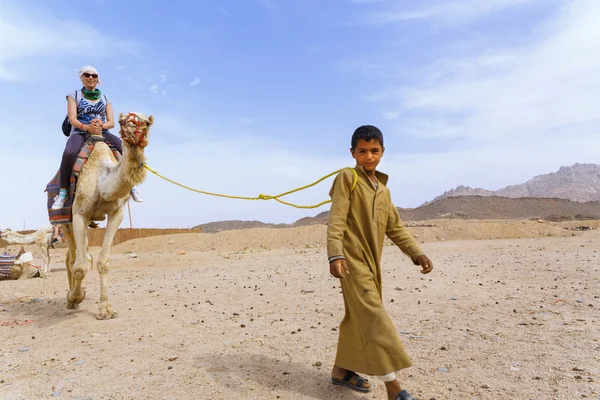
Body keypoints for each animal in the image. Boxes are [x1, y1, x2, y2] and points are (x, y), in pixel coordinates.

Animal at [61, 111, 154, 318]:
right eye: (122, 121)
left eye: (147, 123)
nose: (132, 128)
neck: (101, 180)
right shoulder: (79, 214)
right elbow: (80, 266)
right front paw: (74, 297)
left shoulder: (116, 213)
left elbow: (102, 263)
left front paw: (106, 308)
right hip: (65, 222)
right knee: (71, 258)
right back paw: (71, 299)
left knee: (77, 256)